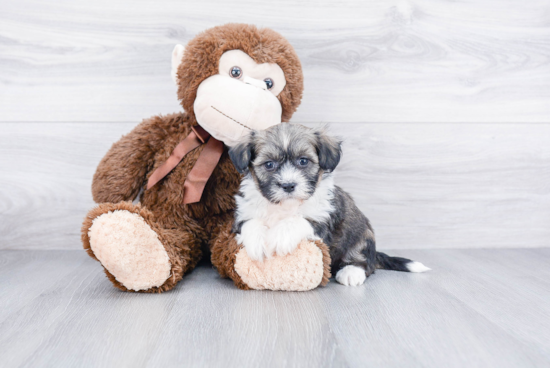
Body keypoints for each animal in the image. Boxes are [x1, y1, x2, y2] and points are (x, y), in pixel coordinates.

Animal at [229, 122, 432, 286]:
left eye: (303, 161)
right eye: (269, 164)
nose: (288, 185)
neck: (285, 206)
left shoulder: (324, 220)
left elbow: (300, 220)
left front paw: (281, 236)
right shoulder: (243, 214)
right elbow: (251, 223)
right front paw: (256, 243)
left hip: (362, 236)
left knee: (364, 262)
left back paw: (351, 272)